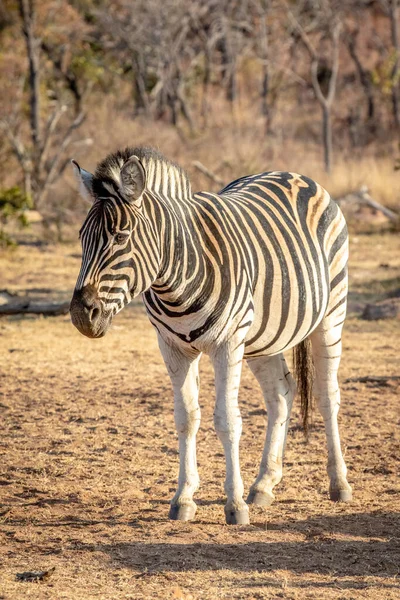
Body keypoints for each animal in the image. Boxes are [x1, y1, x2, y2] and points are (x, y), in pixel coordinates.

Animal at [70, 146, 352, 524]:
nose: (80, 314)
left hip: (331, 311)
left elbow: (227, 421)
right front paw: (184, 498)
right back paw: (264, 484)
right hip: (263, 337)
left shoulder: (227, 343)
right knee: (281, 394)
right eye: (81, 238)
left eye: (120, 237)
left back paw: (338, 484)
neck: (178, 275)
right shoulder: (172, 348)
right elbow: (186, 418)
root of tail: (295, 175)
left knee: (326, 395)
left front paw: (234, 505)